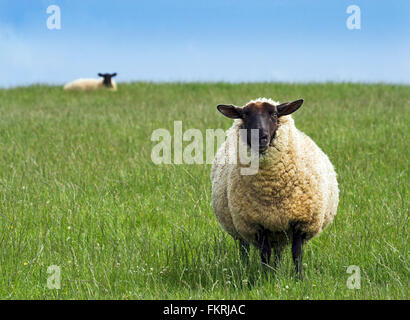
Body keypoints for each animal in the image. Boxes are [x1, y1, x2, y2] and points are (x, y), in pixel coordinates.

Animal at [211, 97, 340, 280]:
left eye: (274, 114)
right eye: (245, 115)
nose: (261, 137)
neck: (271, 187)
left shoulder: (300, 221)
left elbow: (297, 253)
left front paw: (299, 279)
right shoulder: (258, 223)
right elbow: (264, 253)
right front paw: (265, 277)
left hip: (279, 230)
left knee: (278, 252)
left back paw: (276, 270)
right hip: (242, 227)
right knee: (244, 250)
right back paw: (245, 270)